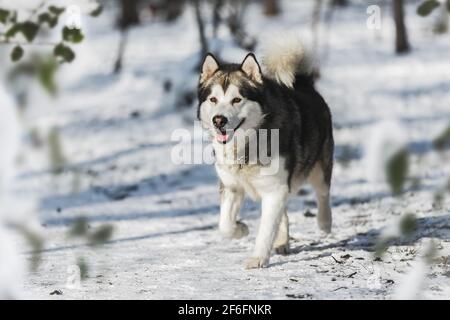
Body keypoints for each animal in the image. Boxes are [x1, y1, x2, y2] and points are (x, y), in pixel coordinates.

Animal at [197, 36, 334, 268]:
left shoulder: (275, 190)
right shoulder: (231, 186)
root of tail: (303, 84)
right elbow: (224, 225)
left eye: (237, 99)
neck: (245, 145)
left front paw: (258, 258)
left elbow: (266, 229)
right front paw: (241, 229)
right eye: (213, 99)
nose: (219, 120)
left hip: (319, 168)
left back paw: (324, 222)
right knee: (284, 214)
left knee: (322, 192)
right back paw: (282, 241)